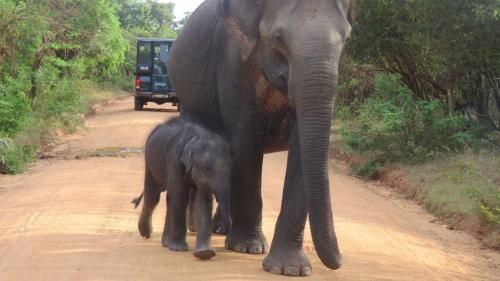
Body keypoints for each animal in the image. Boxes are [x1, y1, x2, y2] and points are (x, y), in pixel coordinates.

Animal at [135, 117, 232, 260]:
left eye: (232, 170)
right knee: (153, 196)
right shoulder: (175, 161)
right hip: (150, 161)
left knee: (169, 199)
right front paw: (178, 249)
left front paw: (205, 253)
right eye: (207, 169)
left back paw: (166, 242)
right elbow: (180, 196)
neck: (199, 136)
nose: (221, 230)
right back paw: (146, 233)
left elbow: (202, 202)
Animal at [169, 0, 356, 276]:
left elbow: (301, 148)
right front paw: (247, 247)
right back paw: (201, 229)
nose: (339, 262)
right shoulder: (234, 61)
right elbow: (247, 139)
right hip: (189, 99)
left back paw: (221, 229)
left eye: (346, 39)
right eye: (278, 38)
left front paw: (291, 269)